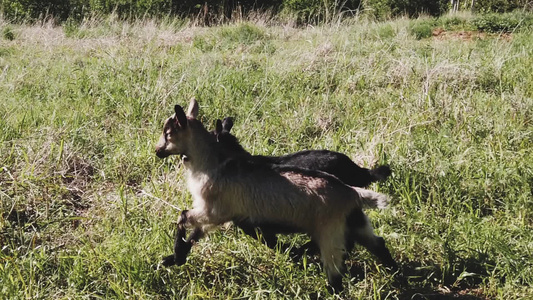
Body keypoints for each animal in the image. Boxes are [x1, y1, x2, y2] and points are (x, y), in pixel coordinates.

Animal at [154, 99, 394, 292]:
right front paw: (173, 259)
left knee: (336, 271)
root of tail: (351, 191)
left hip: (330, 233)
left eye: (168, 134)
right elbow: (195, 233)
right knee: (378, 243)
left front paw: (176, 253)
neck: (211, 164)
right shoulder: (215, 214)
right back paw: (394, 272)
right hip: (356, 222)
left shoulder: (214, 210)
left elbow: (182, 217)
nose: (157, 151)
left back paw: (327, 286)